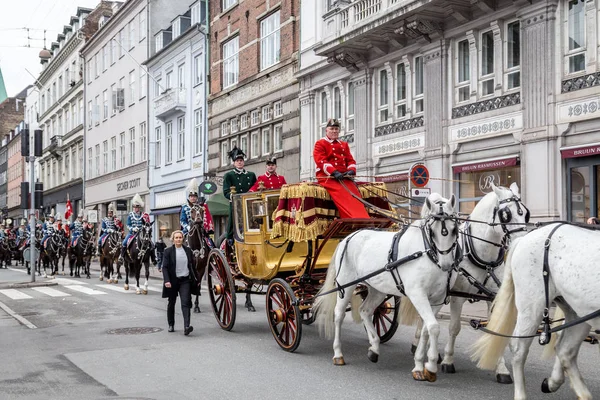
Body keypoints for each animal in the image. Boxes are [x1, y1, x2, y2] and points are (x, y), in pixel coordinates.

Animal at [314, 193, 460, 382]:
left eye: (454, 229)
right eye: (432, 231)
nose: (446, 264)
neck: (427, 253)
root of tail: (348, 237)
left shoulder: (437, 299)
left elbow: (427, 329)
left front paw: (420, 364)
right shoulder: (417, 294)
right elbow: (434, 328)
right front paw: (431, 366)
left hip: (377, 289)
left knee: (365, 311)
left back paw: (374, 348)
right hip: (346, 285)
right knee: (338, 315)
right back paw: (338, 353)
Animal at [410, 183, 528, 382]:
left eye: (526, 213)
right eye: (506, 214)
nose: (523, 242)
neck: (481, 254)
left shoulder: (493, 298)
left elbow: (495, 327)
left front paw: (501, 369)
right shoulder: (457, 297)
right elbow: (454, 328)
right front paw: (448, 361)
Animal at [474, 223, 600, 398]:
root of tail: (523, 238)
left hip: (579, 310)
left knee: (565, 350)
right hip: (532, 306)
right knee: (519, 348)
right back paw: (521, 394)